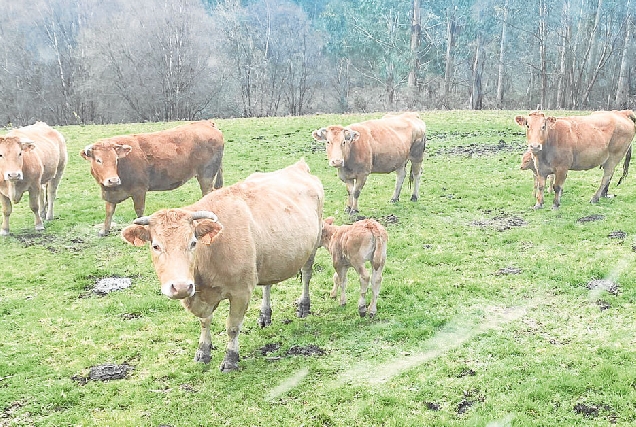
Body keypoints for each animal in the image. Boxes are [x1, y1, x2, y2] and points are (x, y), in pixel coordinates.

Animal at [80, 118, 224, 236]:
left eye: (116, 159)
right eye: (98, 160)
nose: (113, 180)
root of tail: (206, 123)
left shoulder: (139, 190)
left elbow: (139, 210)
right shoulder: (110, 192)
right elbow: (109, 211)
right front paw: (104, 230)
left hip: (206, 175)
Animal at [122, 160, 326, 372]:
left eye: (193, 243)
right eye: (155, 246)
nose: (181, 287)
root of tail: (298, 166)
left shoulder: (241, 292)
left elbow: (232, 327)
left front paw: (230, 359)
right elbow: (204, 322)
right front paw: (203, 351)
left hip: (314, 243)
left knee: (306, 274)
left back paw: (303, 305)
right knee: (267, 284)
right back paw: (265, 314)